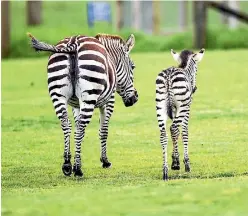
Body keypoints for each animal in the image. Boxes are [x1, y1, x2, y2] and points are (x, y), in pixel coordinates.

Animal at [28, 32, 140, 177]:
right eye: (133, 67)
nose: (135, 98)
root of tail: (73, 42)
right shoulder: (109, 100)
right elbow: (103, 131)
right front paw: (105, 161)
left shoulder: (76, 105)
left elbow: (77, 127)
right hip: (89, 94)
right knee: (81, 128)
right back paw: (78, 169)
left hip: (57, 94)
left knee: (67, 125)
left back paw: (67, 164)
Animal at [155, 48, 205, 181]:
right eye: (196, 70)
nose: (194, 89)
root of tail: (168, 75)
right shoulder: (187, 109)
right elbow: (184, 132)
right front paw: (185, 163)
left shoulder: (174, 110)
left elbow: (177, 134)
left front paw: (174, 158)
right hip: (182, 106)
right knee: (173, 128)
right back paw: (174, 165)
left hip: (160, 107)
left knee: (164, 134)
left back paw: (165, 170)